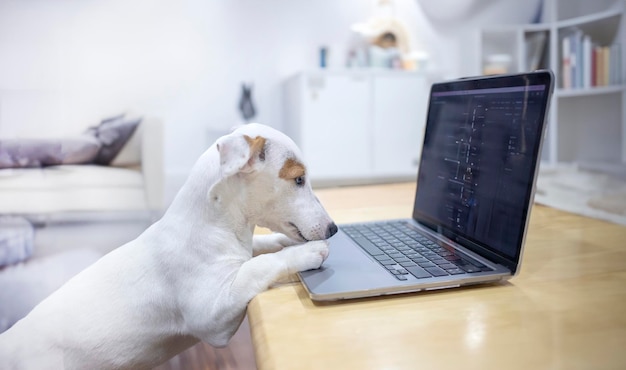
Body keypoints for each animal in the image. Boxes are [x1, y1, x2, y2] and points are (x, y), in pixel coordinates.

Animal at [0, 124, 336, 370]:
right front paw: (305, 251)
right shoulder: (214, 316)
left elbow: (259, 248)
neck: (215, 226)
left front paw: (284, 242)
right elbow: (258, 265)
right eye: (299, 179)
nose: (333, 229)